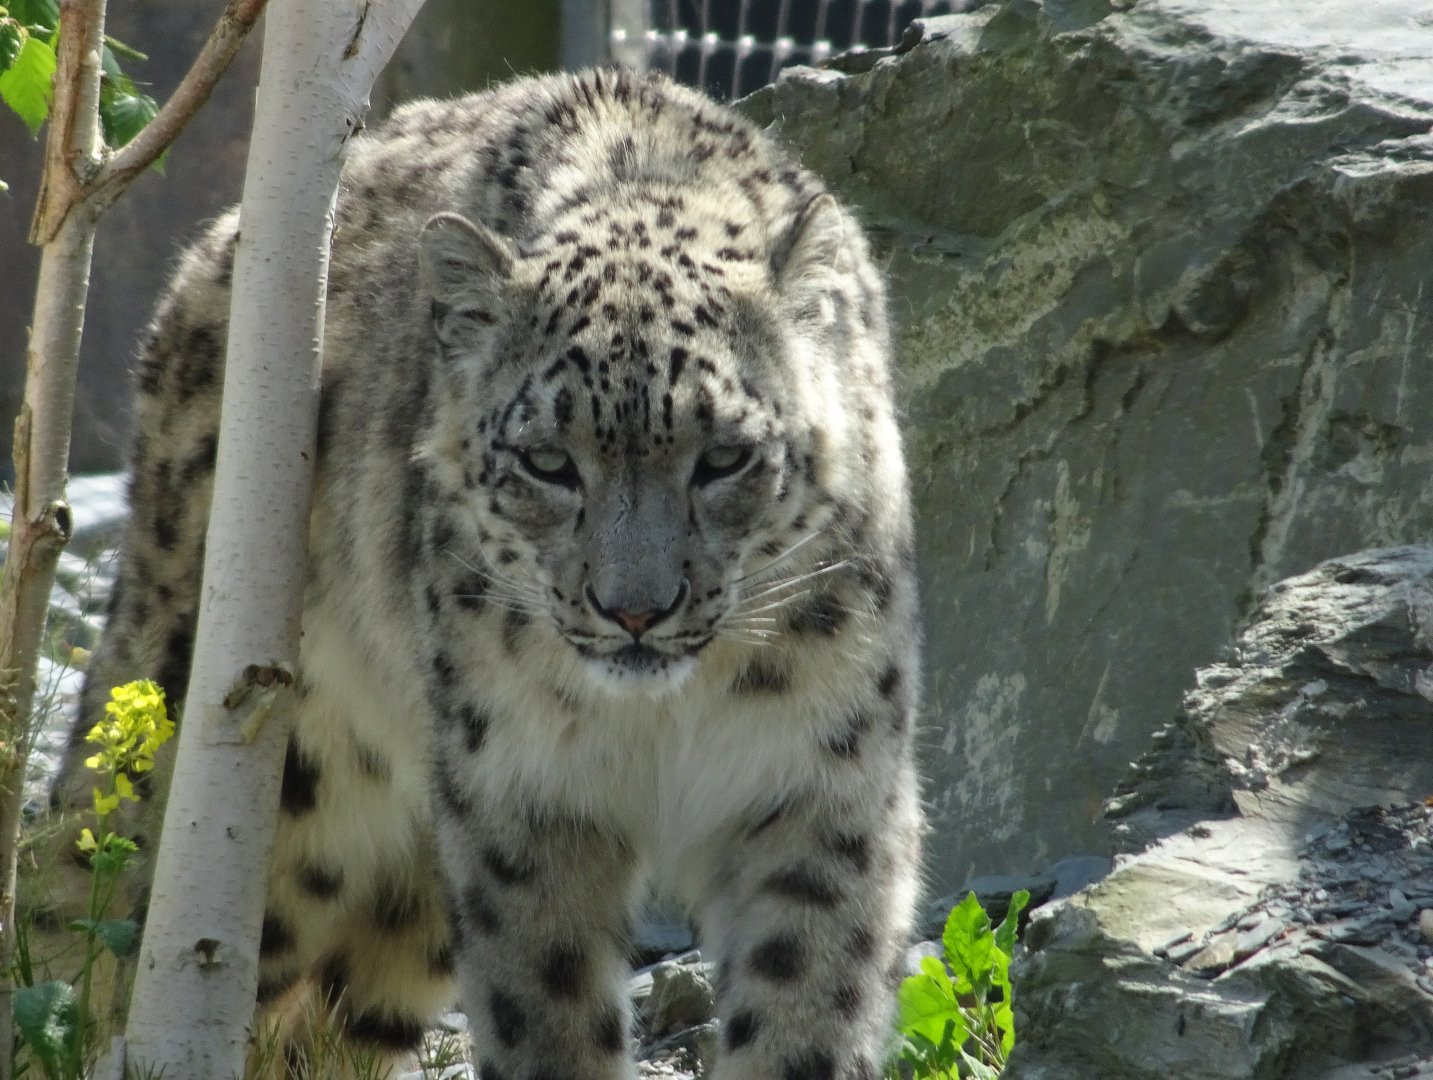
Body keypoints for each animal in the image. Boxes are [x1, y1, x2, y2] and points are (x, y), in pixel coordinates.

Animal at [48, 67, 923, 1079]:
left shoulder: (818, 789)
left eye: (724, 458)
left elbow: (803, 1003)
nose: (634, 611)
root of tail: (207, 259)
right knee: (87, 896)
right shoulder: (525, 797)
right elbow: (548, 1006)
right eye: (547, 461)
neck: (663, 721)